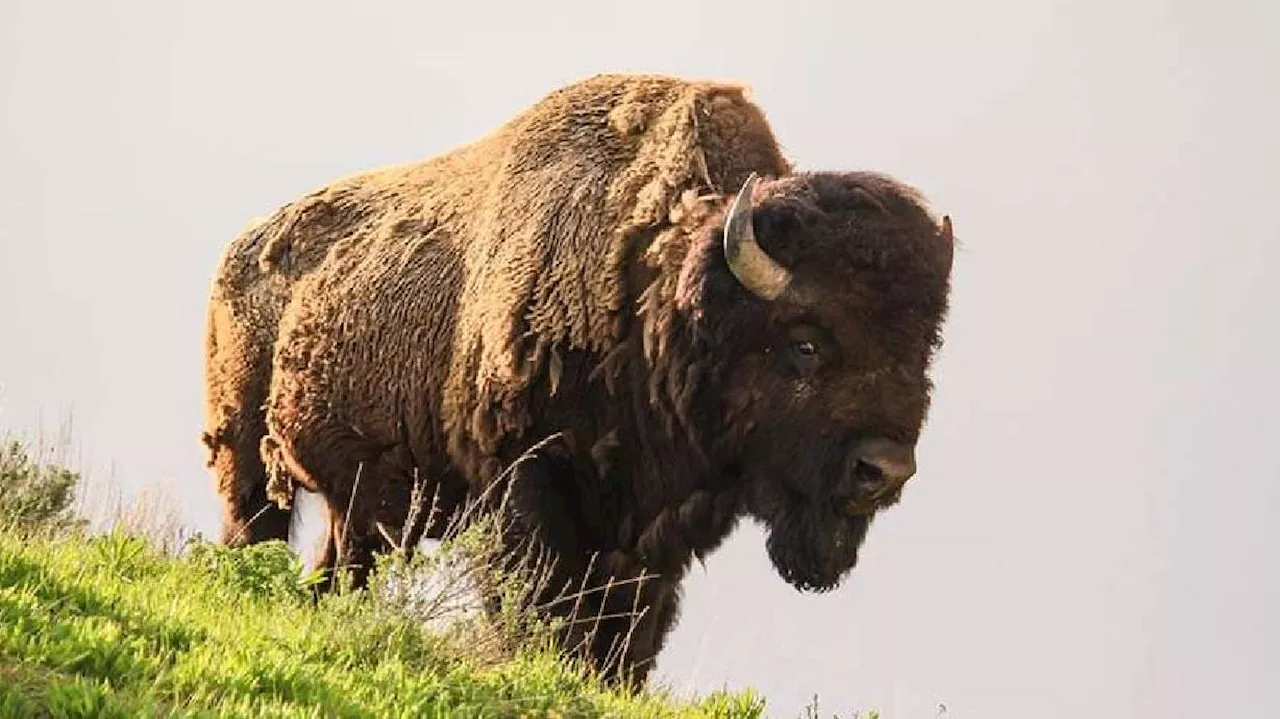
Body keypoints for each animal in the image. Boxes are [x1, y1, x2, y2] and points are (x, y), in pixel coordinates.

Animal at [199, 72, 957, 680]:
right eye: (804, 343)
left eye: (924, 349)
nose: (884, 470)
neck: (657, 295)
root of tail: (239, 252)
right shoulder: (528, 490)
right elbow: (541, 607)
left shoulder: (648, 541)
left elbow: (628, 636)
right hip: (245, 461)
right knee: (256, 531)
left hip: (364, 508)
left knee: (338, 570)